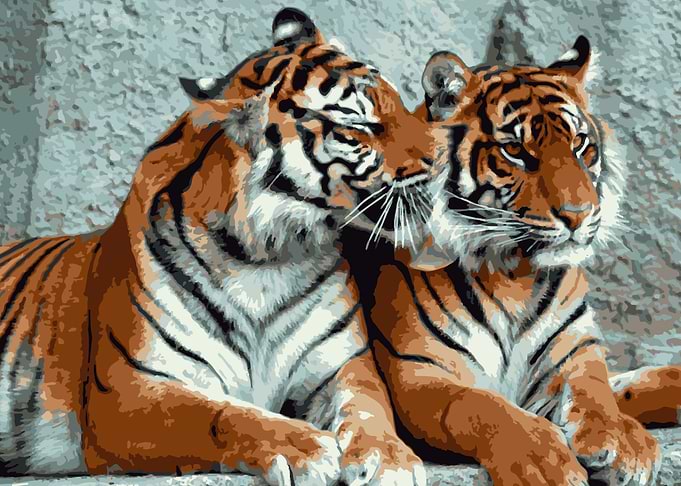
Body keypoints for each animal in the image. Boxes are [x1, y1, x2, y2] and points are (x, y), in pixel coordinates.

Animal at [0, 7, 450, 485]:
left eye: (398, 101)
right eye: (358, 124)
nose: (443, 158)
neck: (267, 259)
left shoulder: (345, 366)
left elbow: (369, 411)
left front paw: (391, 458)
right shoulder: (127, 390)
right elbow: (216, 414)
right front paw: (305, 446)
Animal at [349, 35, 680, 486]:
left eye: (580, 145)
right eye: (515, 151)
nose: (579, 214)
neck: (515, 274)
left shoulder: (575, 349)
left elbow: (597, 389)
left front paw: (621, 439)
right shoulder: (419, 374)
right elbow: (481, 406)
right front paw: (543, 460)